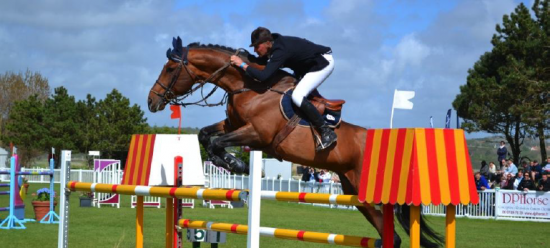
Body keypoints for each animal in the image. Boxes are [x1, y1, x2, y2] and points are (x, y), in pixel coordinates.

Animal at [148, 37, 444, 248]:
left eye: (171, 68)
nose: (151, 101)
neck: (249, 86)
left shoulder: (257, 134)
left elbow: (218, 142)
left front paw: (237, 165)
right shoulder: (234, 125)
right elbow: (205, 135)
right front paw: (231, 163)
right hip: (356, 192)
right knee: (391, 234)